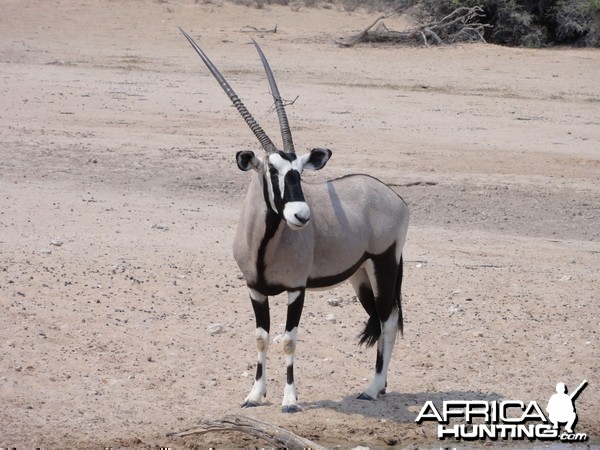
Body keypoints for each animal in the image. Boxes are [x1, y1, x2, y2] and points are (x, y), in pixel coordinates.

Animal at [180, 29, 410, 414]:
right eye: (272, 171)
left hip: (384, 264)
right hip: (361, 275)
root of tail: (395, 198)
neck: (264, 244)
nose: (301, 214)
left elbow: (288, 340)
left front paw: (289, 400)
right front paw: (254, 395)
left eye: (299, 172)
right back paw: (381, 387)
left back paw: (372, 387)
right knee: (379, 320)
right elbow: (261, 337)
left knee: (388, 320)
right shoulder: (255, 289)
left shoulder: (296, 289)